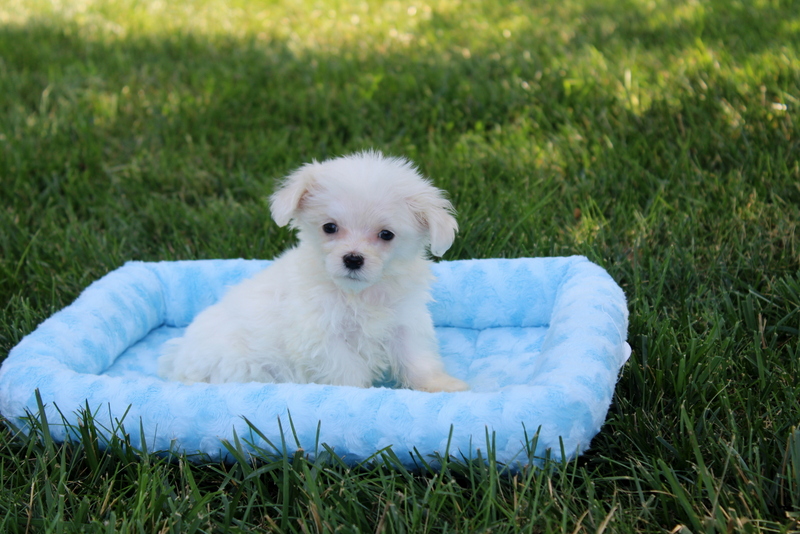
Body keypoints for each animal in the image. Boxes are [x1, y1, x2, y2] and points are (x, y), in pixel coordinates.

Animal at [157, 151, 468, 394]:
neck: (358, 295)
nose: (352, 259)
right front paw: (361, 397)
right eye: (329, 227)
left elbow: (418, 360)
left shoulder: (404, 324)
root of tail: (179, 356)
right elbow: (349, 373)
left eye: (386, 234)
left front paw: (442, 386)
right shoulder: (321, 338)